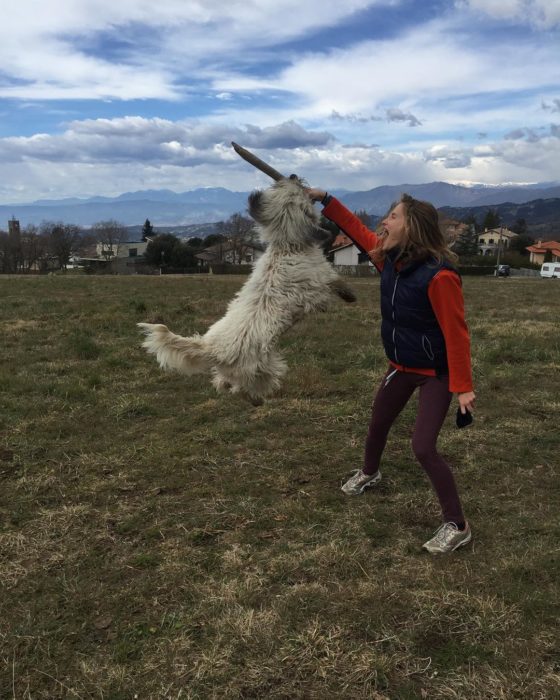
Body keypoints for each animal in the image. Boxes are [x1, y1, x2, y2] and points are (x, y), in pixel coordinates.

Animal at [138, 176, 354, 404]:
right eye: (296, 192)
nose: (293, 176)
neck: (287, 246)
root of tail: (211, 349)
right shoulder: (320, 280)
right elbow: (336, 284)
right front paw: (349, 295)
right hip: (261, 369)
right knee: (249, 388)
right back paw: (257, 399)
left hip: (232, 371)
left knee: (223, 382)